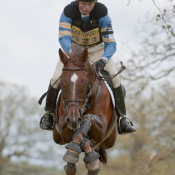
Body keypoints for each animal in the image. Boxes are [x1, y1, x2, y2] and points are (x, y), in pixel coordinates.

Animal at [52, 42, 117, 175]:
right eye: (62, 83)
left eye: (85, 83)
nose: (73, 119)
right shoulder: (63, 127)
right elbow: (80, 135)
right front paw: (73, 157)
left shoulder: (103, 128)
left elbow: (87, 119)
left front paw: (91, 163)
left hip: (110, 139)